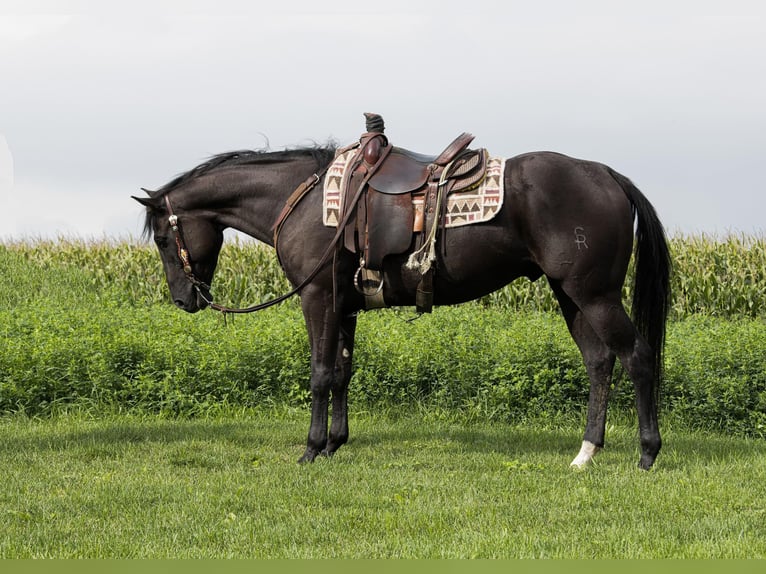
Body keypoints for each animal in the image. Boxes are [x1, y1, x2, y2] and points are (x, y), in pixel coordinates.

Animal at [136, 133, 672, 470]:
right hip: (571, 295)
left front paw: (310, 449)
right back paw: (586, 453)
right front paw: (334, 445)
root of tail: (605, 175)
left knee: (637, 357)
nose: (184, 299)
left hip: (594, 295)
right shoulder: (344, 305)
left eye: (161, 238)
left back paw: (647, 453)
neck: (303, 200)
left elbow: (319, 374)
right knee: (600, 362)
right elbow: (342, 372)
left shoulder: (317, 297)